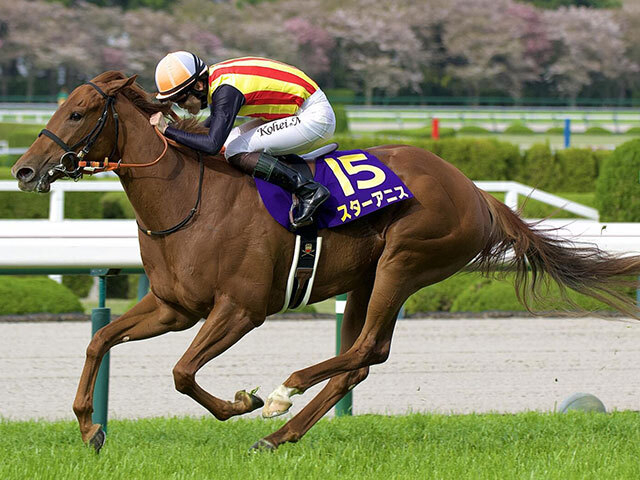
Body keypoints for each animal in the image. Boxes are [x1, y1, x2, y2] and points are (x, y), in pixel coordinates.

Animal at [11, 71, 640, 452]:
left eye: (78, 113)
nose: (23, 170)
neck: (189, 197)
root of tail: (477, 193)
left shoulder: (241, 308)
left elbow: (183, 372)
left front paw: (245, 401)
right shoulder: (173, 306)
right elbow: (100, 340)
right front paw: (90, 426)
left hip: (404, 263)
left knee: (363, 349)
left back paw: (282, 396)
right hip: (369, 275)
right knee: (363, 358)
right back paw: (281, 435)